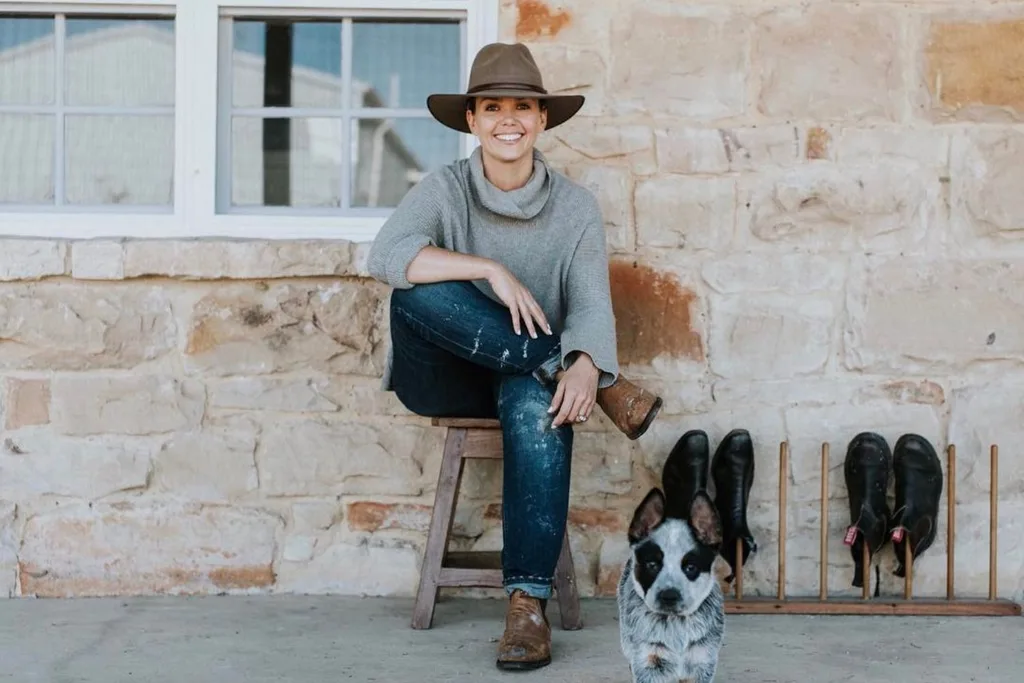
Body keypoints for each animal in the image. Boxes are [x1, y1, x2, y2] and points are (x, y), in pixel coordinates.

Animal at [614, 448, 729, 683]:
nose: (669, 596)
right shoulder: (648, 661)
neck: (675, 626)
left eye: (691, 567)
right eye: (652, 564)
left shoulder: (702, 661)